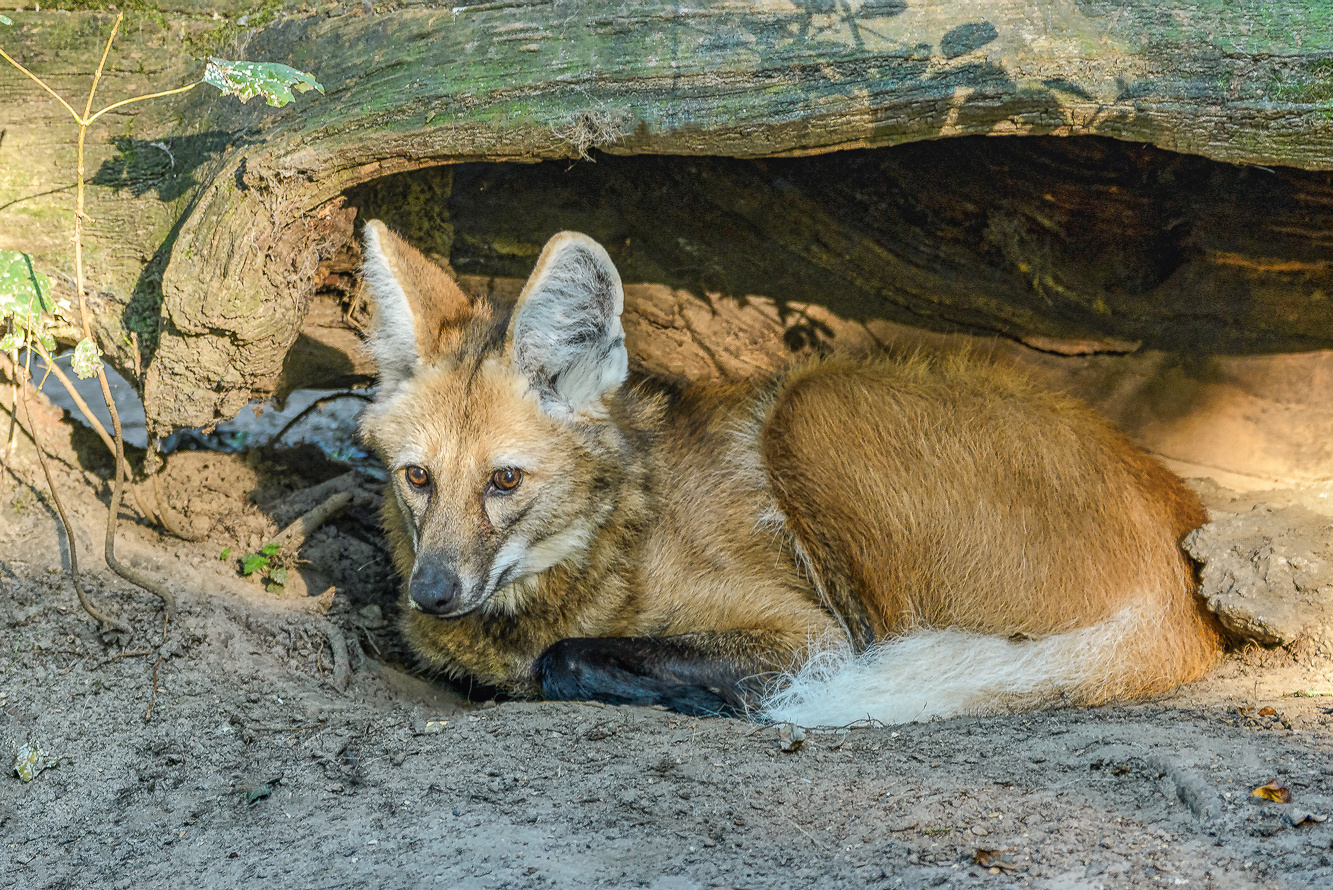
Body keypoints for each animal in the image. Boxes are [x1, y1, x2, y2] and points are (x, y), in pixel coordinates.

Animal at [359, 218, 1221, 724]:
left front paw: (712, 695)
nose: (431, 594)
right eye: (417, 477)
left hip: (812, 406)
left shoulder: (802, 632)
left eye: (504, 481)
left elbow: (565, 658)